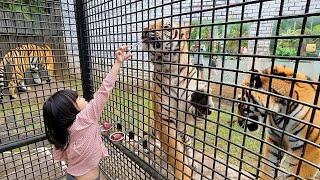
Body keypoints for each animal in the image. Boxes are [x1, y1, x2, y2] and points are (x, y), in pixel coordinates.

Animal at [142, 20, 215, 180]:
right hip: (153, 126)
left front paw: (201, 99)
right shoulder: (164, 119)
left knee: (187, 144)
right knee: (151, 138)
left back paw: (192, 162)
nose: (144, 31)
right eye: (149, 25)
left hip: (184, 132)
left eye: (166, 27)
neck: (171, 70)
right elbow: (176, 154)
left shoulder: (189, 109)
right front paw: (183, 174)